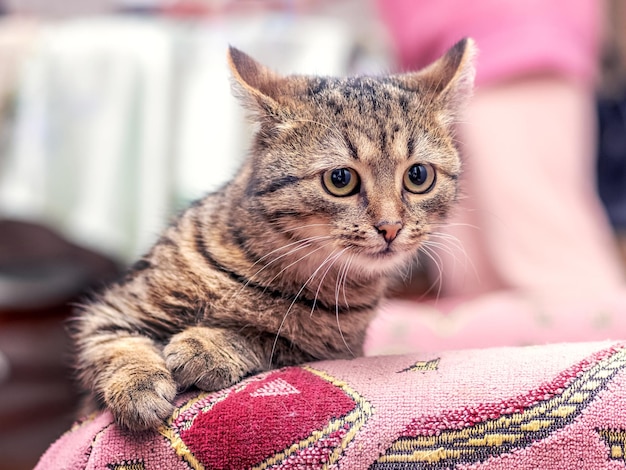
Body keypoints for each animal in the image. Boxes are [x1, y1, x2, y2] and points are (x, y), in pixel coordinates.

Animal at [73, 38, 472, 432]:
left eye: (418, 176)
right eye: (340, 179)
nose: (391, 226)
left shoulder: (330, 350)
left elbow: (267, 338)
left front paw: (209, 346)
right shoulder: (112, 312)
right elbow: (119, 346)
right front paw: (137, 388)